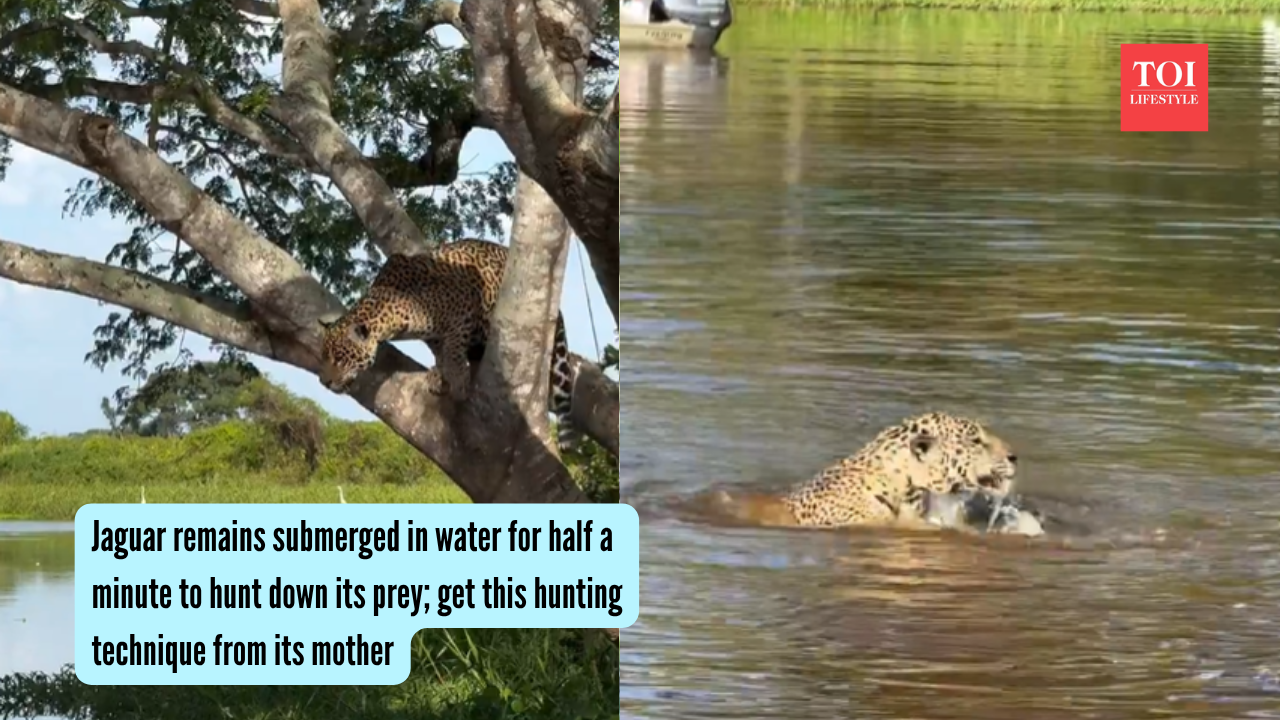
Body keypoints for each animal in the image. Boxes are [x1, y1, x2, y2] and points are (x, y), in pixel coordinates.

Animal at [315, 238, 580, 453]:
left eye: (339, 358)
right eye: (324, 357)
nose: (324, 382)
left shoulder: (463, 308)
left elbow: (453, 349)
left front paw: (458, 380)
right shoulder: (433, 334)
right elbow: (439, 352)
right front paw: (439, 374)